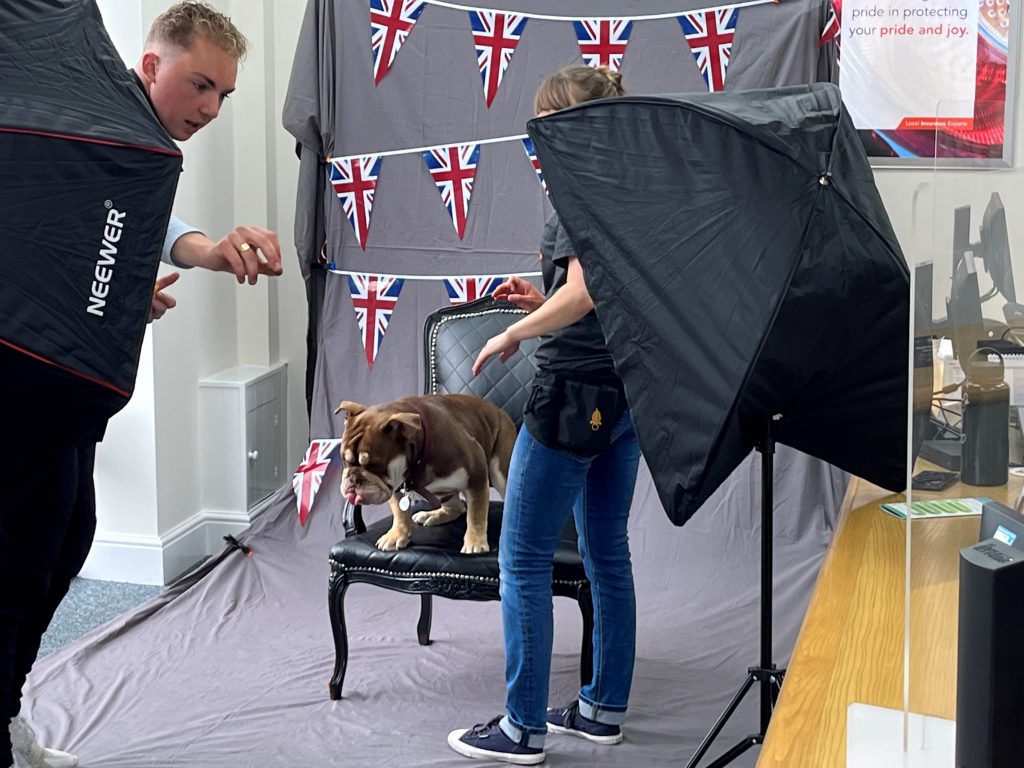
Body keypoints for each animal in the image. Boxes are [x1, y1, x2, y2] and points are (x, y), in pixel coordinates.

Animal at [335, 394, 516, 553]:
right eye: (344, 459)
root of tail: (499, 411)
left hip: (501, 472)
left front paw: (475, 543)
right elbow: (399, 512)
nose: (354, 478)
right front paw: (397, 535)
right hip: (443, 492)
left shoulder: (476, 473)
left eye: (375, 466)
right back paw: (433, 515)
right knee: (457, 507)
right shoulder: (395, 486)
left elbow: (476, 513)